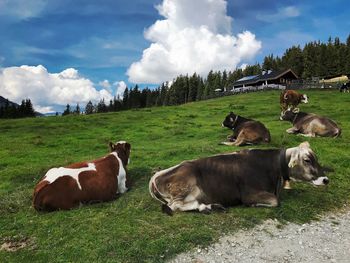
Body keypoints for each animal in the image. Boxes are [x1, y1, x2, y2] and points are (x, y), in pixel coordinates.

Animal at [149, 142, 330, 217]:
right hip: (183, 187)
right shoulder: (249, 194)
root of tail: (156, 175)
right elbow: (275, 201)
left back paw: (210, 206)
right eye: (307, 160)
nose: (325, 179)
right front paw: (255, 205)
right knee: (175, 206)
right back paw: (205, 207)